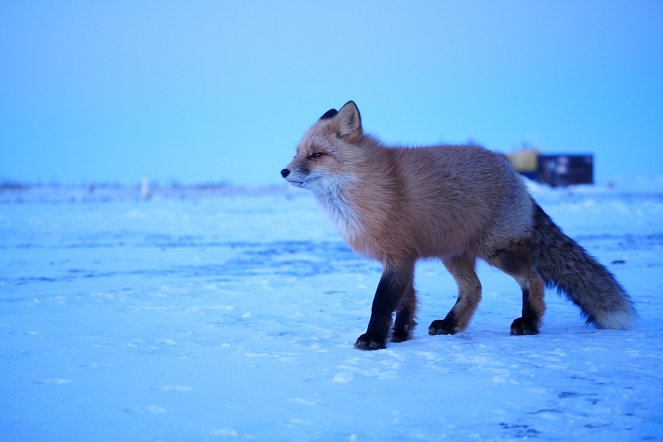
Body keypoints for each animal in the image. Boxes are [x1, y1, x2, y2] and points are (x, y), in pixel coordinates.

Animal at [280, 101, 640, 352]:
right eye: (297, 153)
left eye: (316, 155)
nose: (283, 171)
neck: (370, 187)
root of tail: (516, 176)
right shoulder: (403, 256)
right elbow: (405, 302)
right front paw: (400, 334)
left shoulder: (398, 255)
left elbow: (382, 302)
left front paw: (374, 339)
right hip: (454, 254)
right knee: (474, 289)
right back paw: (451, 324)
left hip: (494, 250)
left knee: (533, 278)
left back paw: (529, 322)